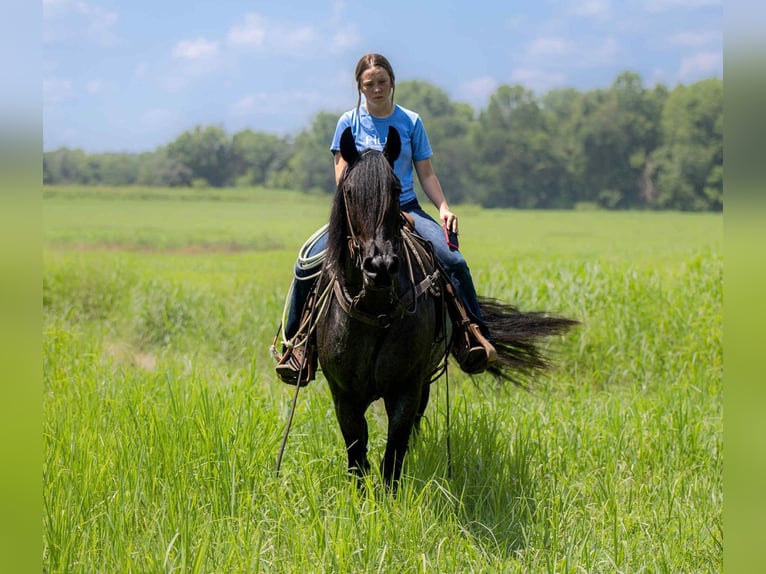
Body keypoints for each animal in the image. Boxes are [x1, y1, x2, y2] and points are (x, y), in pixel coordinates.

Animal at [313, 126, 577, 487]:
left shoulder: (408, 386)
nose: (380, 267)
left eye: (395, 190)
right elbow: (357, 455)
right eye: (349, 192)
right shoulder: (343, 392)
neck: (376, 309)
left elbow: (393, 454)